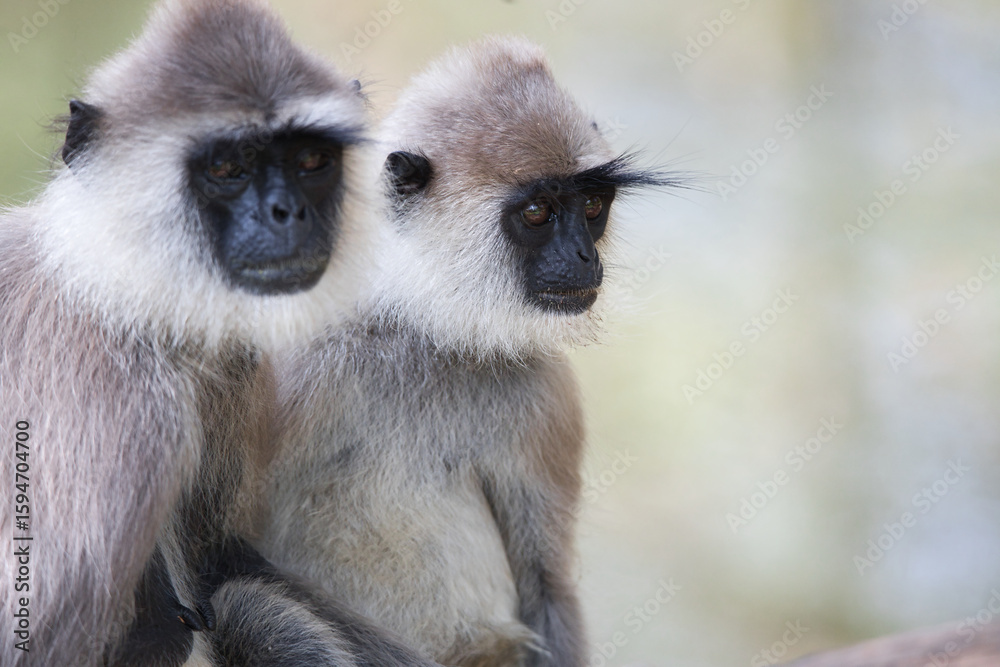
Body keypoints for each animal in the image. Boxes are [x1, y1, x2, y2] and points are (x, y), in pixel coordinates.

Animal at [257, 36, 683, 667]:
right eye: (537, 213)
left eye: (591, 207)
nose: (585, 257)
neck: (421, 332)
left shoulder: (546, 394)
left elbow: (547, 588)